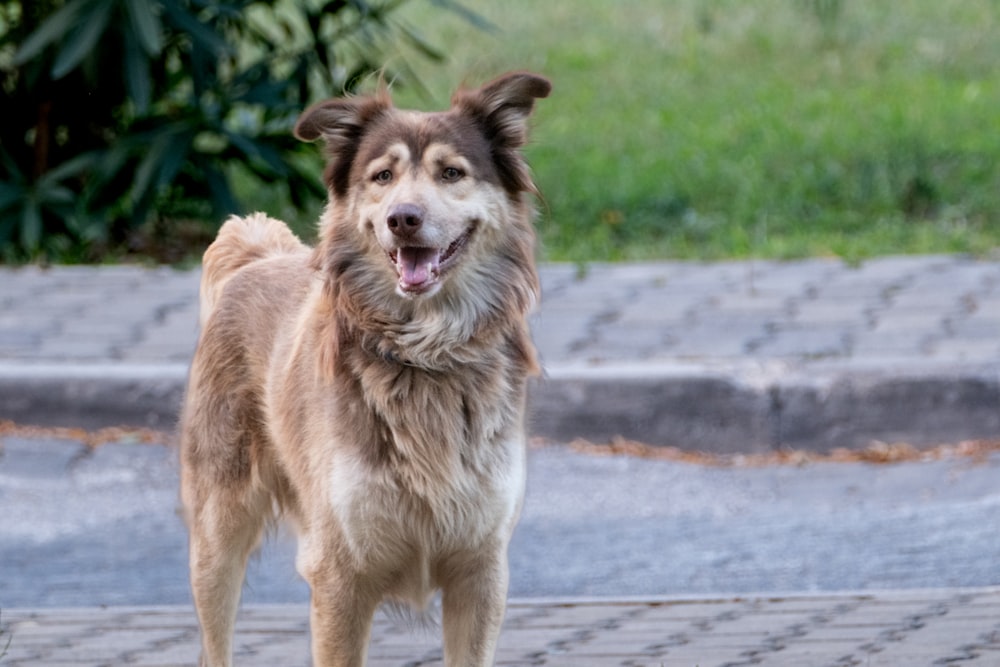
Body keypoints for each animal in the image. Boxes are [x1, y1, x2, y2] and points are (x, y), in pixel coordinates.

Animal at [181, 70, 556, 664]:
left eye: (452, 173)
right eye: (383, 176)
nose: (403, 218)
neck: (424, 354)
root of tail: (257, 256)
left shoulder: (482, 572)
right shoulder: (339, 575)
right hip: (217, 532)